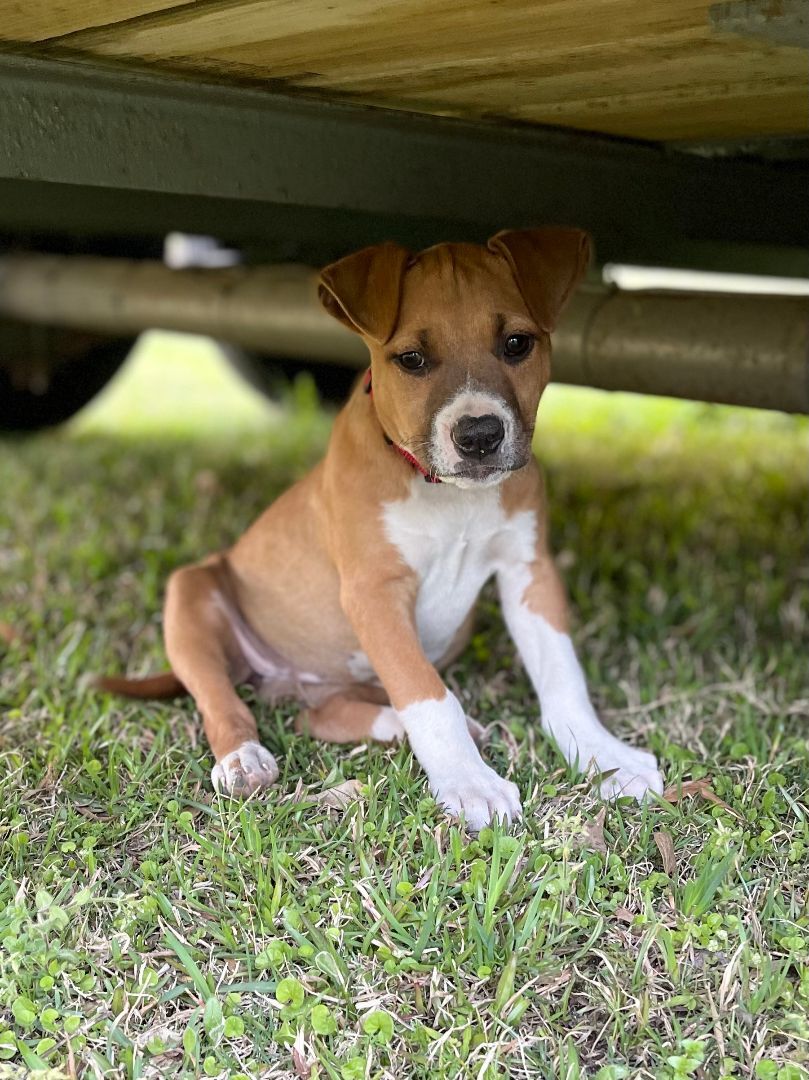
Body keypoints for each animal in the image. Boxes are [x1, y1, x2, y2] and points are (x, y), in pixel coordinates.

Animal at [99, 232, 661, 829]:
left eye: (516, 343)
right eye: (412, 359)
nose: (479, 435)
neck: (448, 494)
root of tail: (283, 681)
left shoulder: (528, 569)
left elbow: (562, 674)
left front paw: (605, 757)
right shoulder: (375, 592)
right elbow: (427, 695)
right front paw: (470, 783)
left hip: (339, 681)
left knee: (324, 716)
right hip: (191, 598)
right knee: (219, 700)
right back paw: (243, 760)